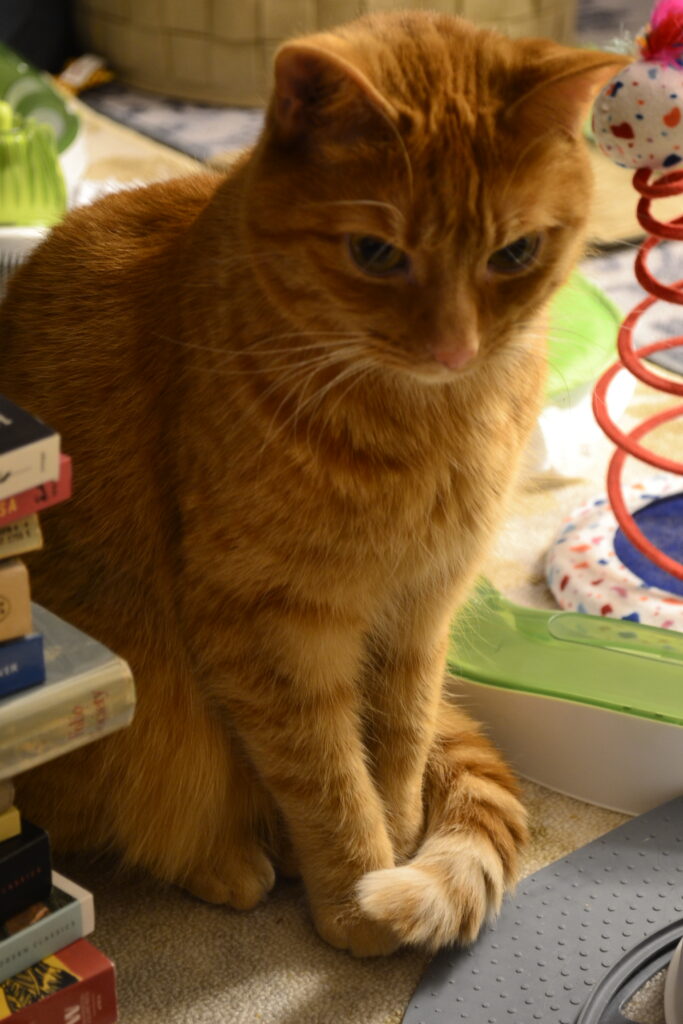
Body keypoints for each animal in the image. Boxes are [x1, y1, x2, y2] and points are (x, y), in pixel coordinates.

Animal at [0, 12, 622, 954]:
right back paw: (230, 864)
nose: (453, 348)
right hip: (145, 693)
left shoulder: (421, 611)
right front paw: (359, 899)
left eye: (514, 252)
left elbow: (395, 750)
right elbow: (325, 778)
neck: (429, 424)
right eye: (374, 253)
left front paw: (396, 842)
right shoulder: (270, 627)